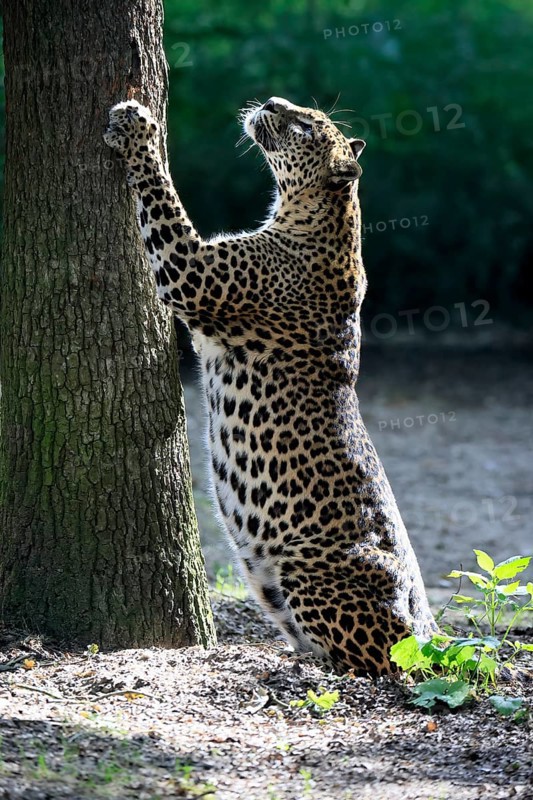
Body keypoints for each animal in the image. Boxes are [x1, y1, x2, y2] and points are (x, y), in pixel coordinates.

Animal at [104, 95, 437, 676]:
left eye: (303, 125)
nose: (272, 101)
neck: (329, 216)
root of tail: (432, 636)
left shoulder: (193, 273)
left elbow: (162, 196)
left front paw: (136, 125)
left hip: (304, 567)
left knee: (376, 665)